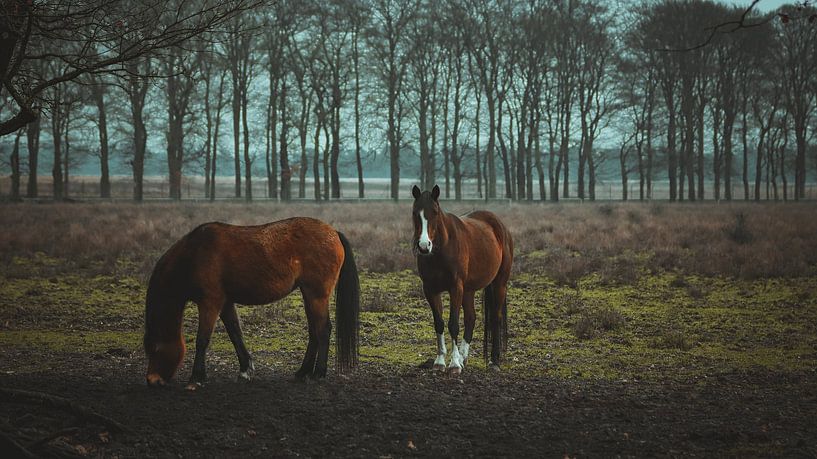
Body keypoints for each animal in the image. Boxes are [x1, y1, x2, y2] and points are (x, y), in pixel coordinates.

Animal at [143, 217, 359, 389]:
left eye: (155, 349)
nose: (152, 381)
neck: (194, 254)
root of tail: (334, 232)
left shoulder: (210, 303)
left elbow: (202, 340)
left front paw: (196, 378)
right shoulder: (226, 303)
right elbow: (235, 334)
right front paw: (245, 370)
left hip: (316, 296)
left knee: (323, 330)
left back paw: (318, 374)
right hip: (308, 296)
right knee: (314, 332)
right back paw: (302, 372)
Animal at [411, 185, 513, 374]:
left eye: (435, 212)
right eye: (415, 212)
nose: (423, 246)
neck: (441, 249)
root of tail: (499, 226)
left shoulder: (455, 288)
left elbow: (453, 324)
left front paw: (454, 365)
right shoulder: (430, 289)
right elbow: (439, 323)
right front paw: (440, 362)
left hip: (499, 284)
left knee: (495, 318)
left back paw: (494, 361)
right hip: (468, 290)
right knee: (471, 318)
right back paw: (463, 357)